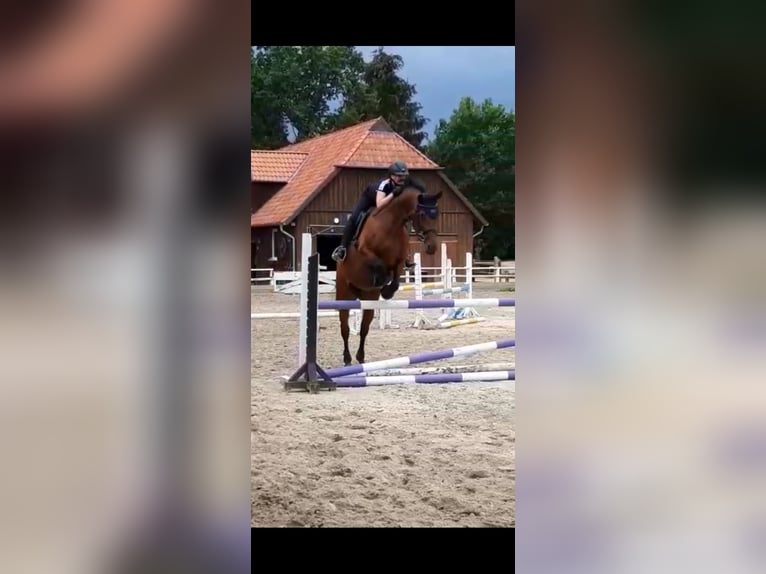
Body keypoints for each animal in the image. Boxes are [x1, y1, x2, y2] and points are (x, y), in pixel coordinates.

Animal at [335, 185, 443, 366]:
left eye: (438, 214)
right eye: (422, 214)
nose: (431, 247)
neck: (391, 224)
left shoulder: (399, 260)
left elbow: (396, 277)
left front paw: (387, 291)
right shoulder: (366, 252)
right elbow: (379, 264)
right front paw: (381, 281)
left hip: (368, 300)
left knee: (364, 329)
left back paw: (360, 357)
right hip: (344, 294)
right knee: (345, 328)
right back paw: (347, 358)